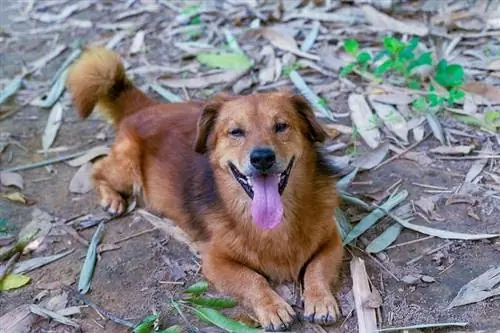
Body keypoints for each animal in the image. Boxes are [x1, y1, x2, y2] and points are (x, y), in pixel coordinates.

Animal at [66, 46, 344, 330]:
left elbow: (316, 267)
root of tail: (144, 109)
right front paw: (273, 307)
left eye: (281, 126)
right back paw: (112, 199)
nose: (262, 158)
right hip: (127, 169)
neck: (276, 226)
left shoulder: (332, 240)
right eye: (236, 132)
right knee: (98, 168)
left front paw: (320, 299)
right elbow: (252, 279)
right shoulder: (215, 260)